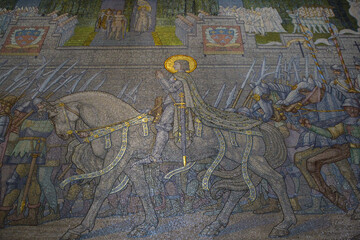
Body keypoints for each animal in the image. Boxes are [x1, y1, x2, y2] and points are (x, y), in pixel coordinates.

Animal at [47, 91, 296, 239]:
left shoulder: (115, 162)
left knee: (276, 180)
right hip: (235, 160)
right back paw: (215, 225)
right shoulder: (131, 165)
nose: (61, 136)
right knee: (238, 190)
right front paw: (148, 224)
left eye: (53, 115)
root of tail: (256, 124)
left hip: (253, 160)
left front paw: (80, 228)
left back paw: (284, 225)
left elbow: (101, 191)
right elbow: (142, 191)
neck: (120, 123)